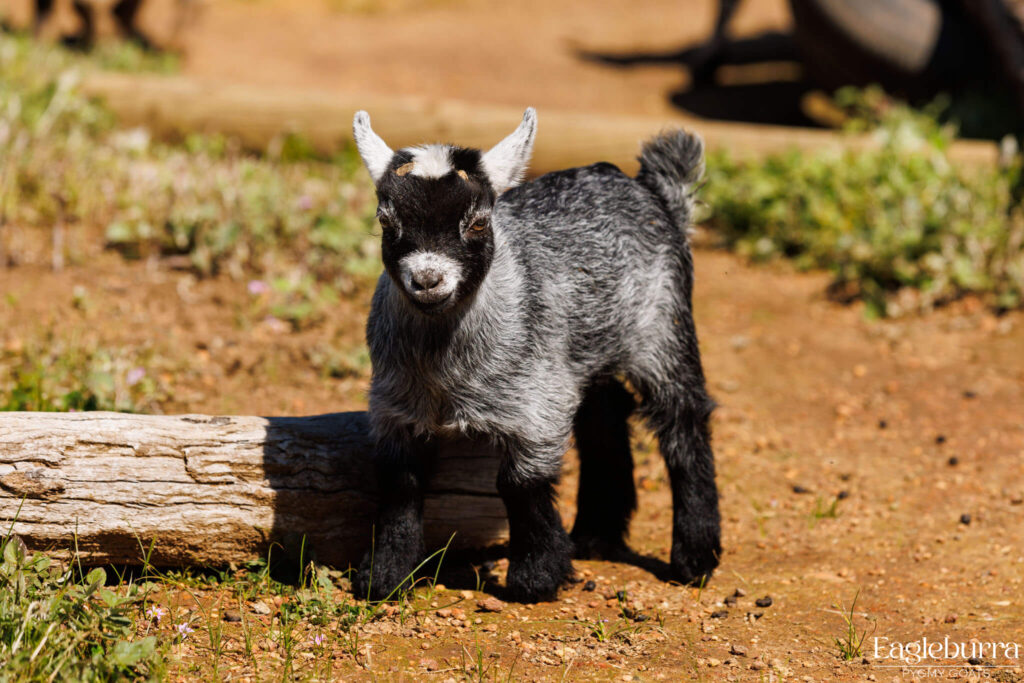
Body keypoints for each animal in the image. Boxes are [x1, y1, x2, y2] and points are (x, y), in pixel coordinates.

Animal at [351, 108, 721, 603]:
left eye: (478, 223)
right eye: (387, 223)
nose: (428, 280)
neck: (446, 376)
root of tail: (649, 189)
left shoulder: (535, 403)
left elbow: (519, 482)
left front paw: (536, 575)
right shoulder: (394, 405)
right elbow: (401, 483)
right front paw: (386, 574)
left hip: (663, 326)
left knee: (683, 417)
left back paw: (695, 556)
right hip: (583, 348)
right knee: (604, 414)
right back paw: (596, 535)